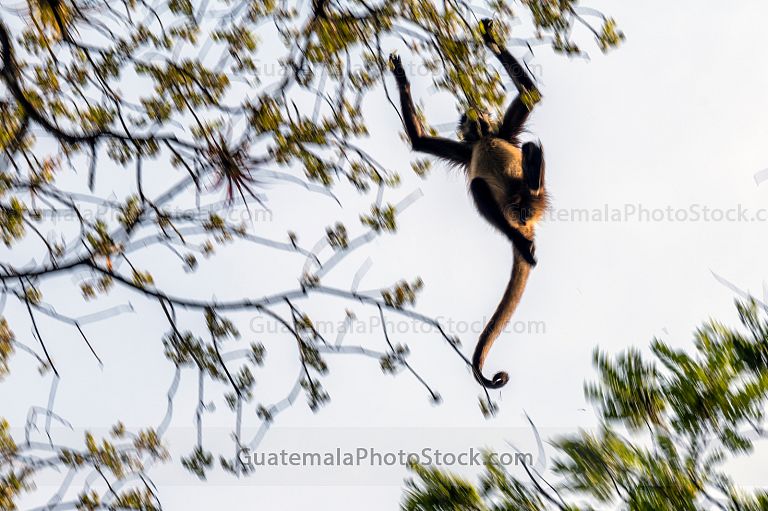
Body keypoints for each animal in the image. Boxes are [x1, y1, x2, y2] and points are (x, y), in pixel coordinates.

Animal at [388, 19, 547, 389]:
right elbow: (419, 142)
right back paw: (520, 240)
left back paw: (533, 171)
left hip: (534, 199)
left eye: (477, 115)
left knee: (525, 157)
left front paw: (490, 39)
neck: (483, 139)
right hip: (511, 207)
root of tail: (524, 215)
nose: (473, 119)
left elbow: (531, 94)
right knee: (478, 187)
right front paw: (401, 75)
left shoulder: (501, 133)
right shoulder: (466, 150)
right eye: (466, 120)